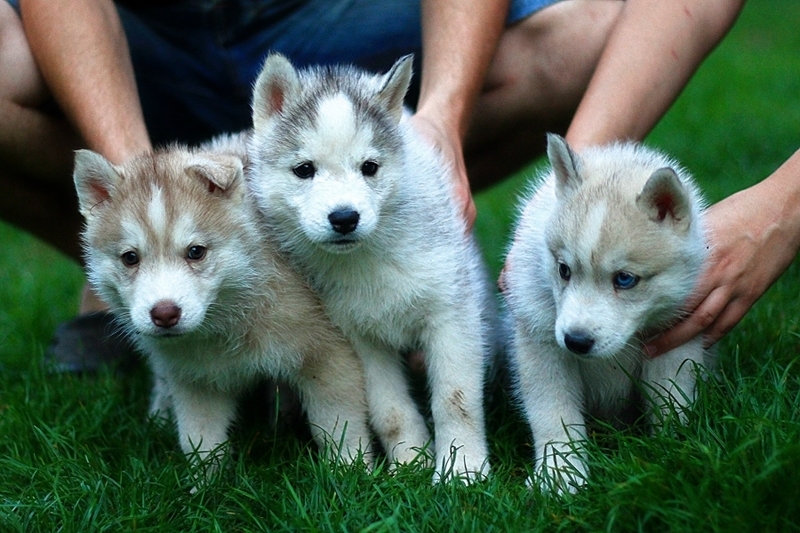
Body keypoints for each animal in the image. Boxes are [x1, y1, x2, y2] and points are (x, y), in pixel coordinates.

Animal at [73, 138, 374, 474]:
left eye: (196, 252)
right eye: (130, 258)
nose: (165, 314)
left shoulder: (329, 356)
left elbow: (340, 425)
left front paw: (351, 472)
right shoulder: (196, 378)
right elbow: (200, 438)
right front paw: (205, 483)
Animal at [247, 54, 494, 482]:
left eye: (370, 167)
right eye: (304, 169)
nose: (345, 218)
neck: (369, 258)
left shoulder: (452, 318)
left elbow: (456, 400)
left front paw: (462, 472)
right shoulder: (360, 338)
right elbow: (389, 411)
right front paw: (410, 463)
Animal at [500, 134, 712, 494]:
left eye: (625, 279)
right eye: (564, 270)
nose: (576, 341)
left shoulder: (674, 340)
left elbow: (672, 400)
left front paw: (673, 453)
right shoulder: (541, 347)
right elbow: (553, 413)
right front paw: (559, 476)